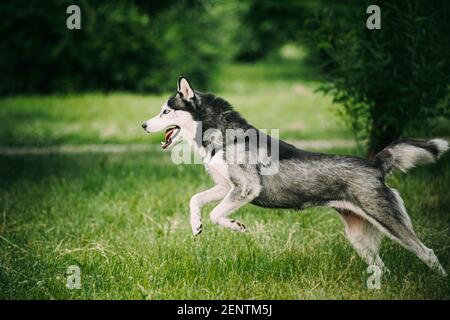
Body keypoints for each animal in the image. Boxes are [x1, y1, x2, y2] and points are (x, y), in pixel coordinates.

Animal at [142, 77, 448, 276]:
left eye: (166, 111)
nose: (143, 125)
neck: (223, 135)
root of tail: (374, 163)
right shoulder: (225, 186)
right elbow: (195, 199)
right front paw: (196, 225)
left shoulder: (246, 188)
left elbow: (217, 213)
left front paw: (236, 226)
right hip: (358, 235)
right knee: (381, 267)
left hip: (387, 220)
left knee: (428, 253)